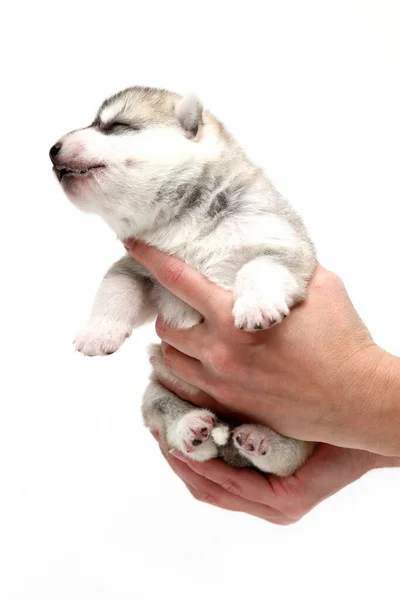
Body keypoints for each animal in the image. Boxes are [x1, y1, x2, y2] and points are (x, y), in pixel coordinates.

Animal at [50, 85, 318, 478]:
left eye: (115, 126)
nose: (52, 149)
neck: (185, 220)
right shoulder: (140, 269)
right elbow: (116, 288)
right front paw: (99, 333)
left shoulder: (282, 246)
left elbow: (257, 268)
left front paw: (256, 306)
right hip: (158, 390)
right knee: (179, 428)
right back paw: (194, 429)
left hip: (299, 420)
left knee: (285, 460)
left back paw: (260, 440)